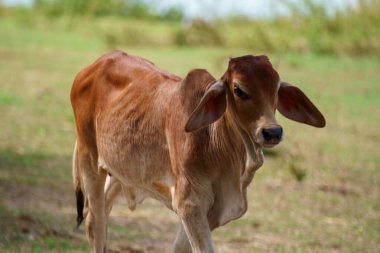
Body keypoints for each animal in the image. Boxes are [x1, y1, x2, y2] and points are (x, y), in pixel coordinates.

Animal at [70, 50, 326, 252]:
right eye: (238, 89)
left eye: (276, 89)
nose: (272, 132)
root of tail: (93, 66)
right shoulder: (190, 204)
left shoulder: (207, 214)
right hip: (89, 157)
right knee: (95, 220)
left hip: (121, 172)